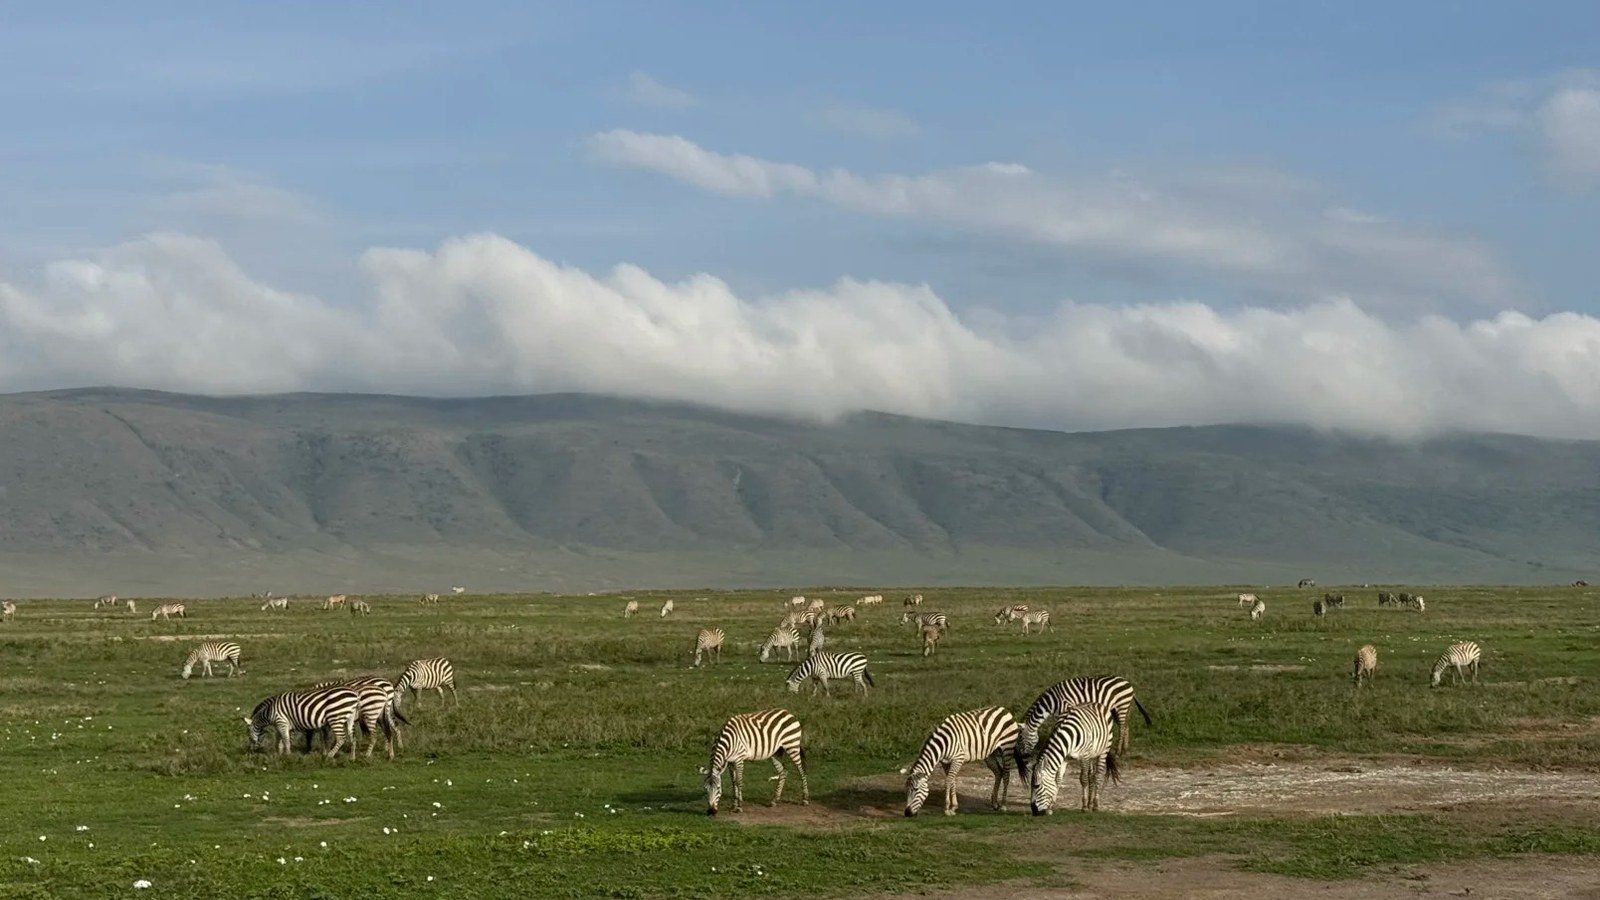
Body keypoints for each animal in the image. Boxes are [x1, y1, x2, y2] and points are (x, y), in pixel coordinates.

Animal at [1018, 676, 1151, 763]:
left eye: (1021, 740)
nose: (1023, 756)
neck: (1051, 702)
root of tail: (1128, 683)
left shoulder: (1068, 708)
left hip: (1121, 706)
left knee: (1122, 727)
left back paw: (1118, 752)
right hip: (1120, 708)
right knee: (1126, 725)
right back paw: (1125, 749)